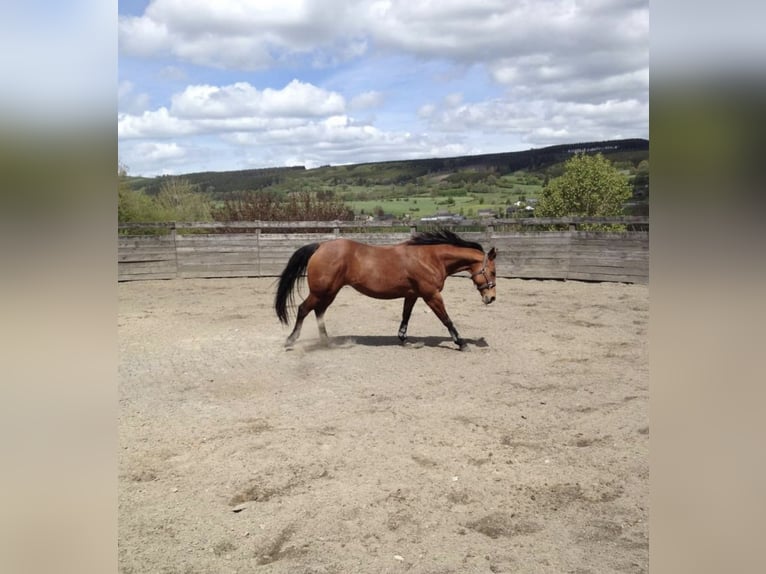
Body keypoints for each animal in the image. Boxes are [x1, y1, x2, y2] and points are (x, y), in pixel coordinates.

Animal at [274, 230, 498, 352]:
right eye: (493, 272)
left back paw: (326, 341)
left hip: (330, 292)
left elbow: (406, 316)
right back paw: (290, 341)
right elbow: (446, 319)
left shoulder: (412, 294)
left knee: (319, 312)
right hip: (321, 291)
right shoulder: (431, 295)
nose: (491, 298)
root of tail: (320, 246)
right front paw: (462, 343)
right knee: (303, 309)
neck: (430, 258)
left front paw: (404, 340)